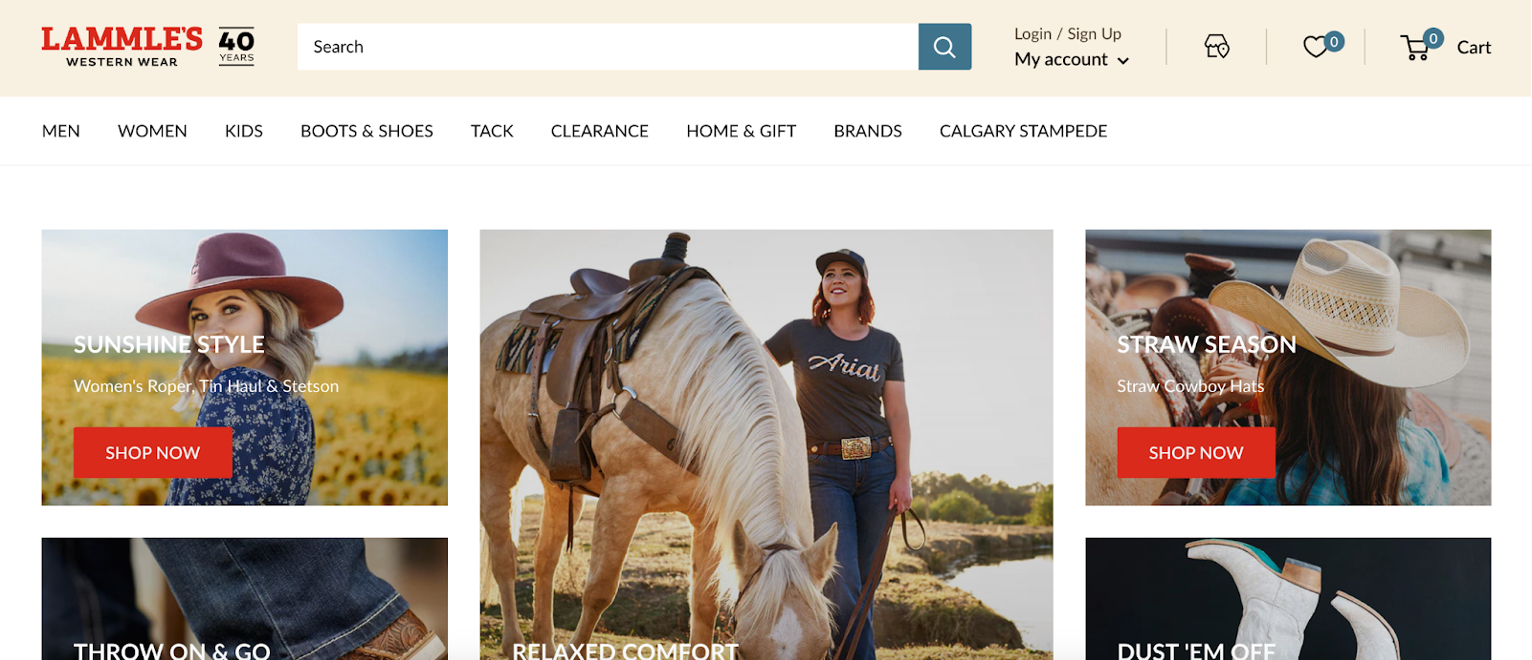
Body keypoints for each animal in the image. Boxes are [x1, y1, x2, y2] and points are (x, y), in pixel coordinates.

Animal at [477, 277, 839, 660]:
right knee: (504, 557)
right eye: (742, 650)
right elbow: (598, 592)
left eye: (826, 649)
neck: (696, 392)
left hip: (559, 484)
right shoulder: (621, 496)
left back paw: (543, 642)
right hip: (495, 462)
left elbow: (704, 604)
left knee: (545, 558)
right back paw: (512, 641)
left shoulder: (710, 519)